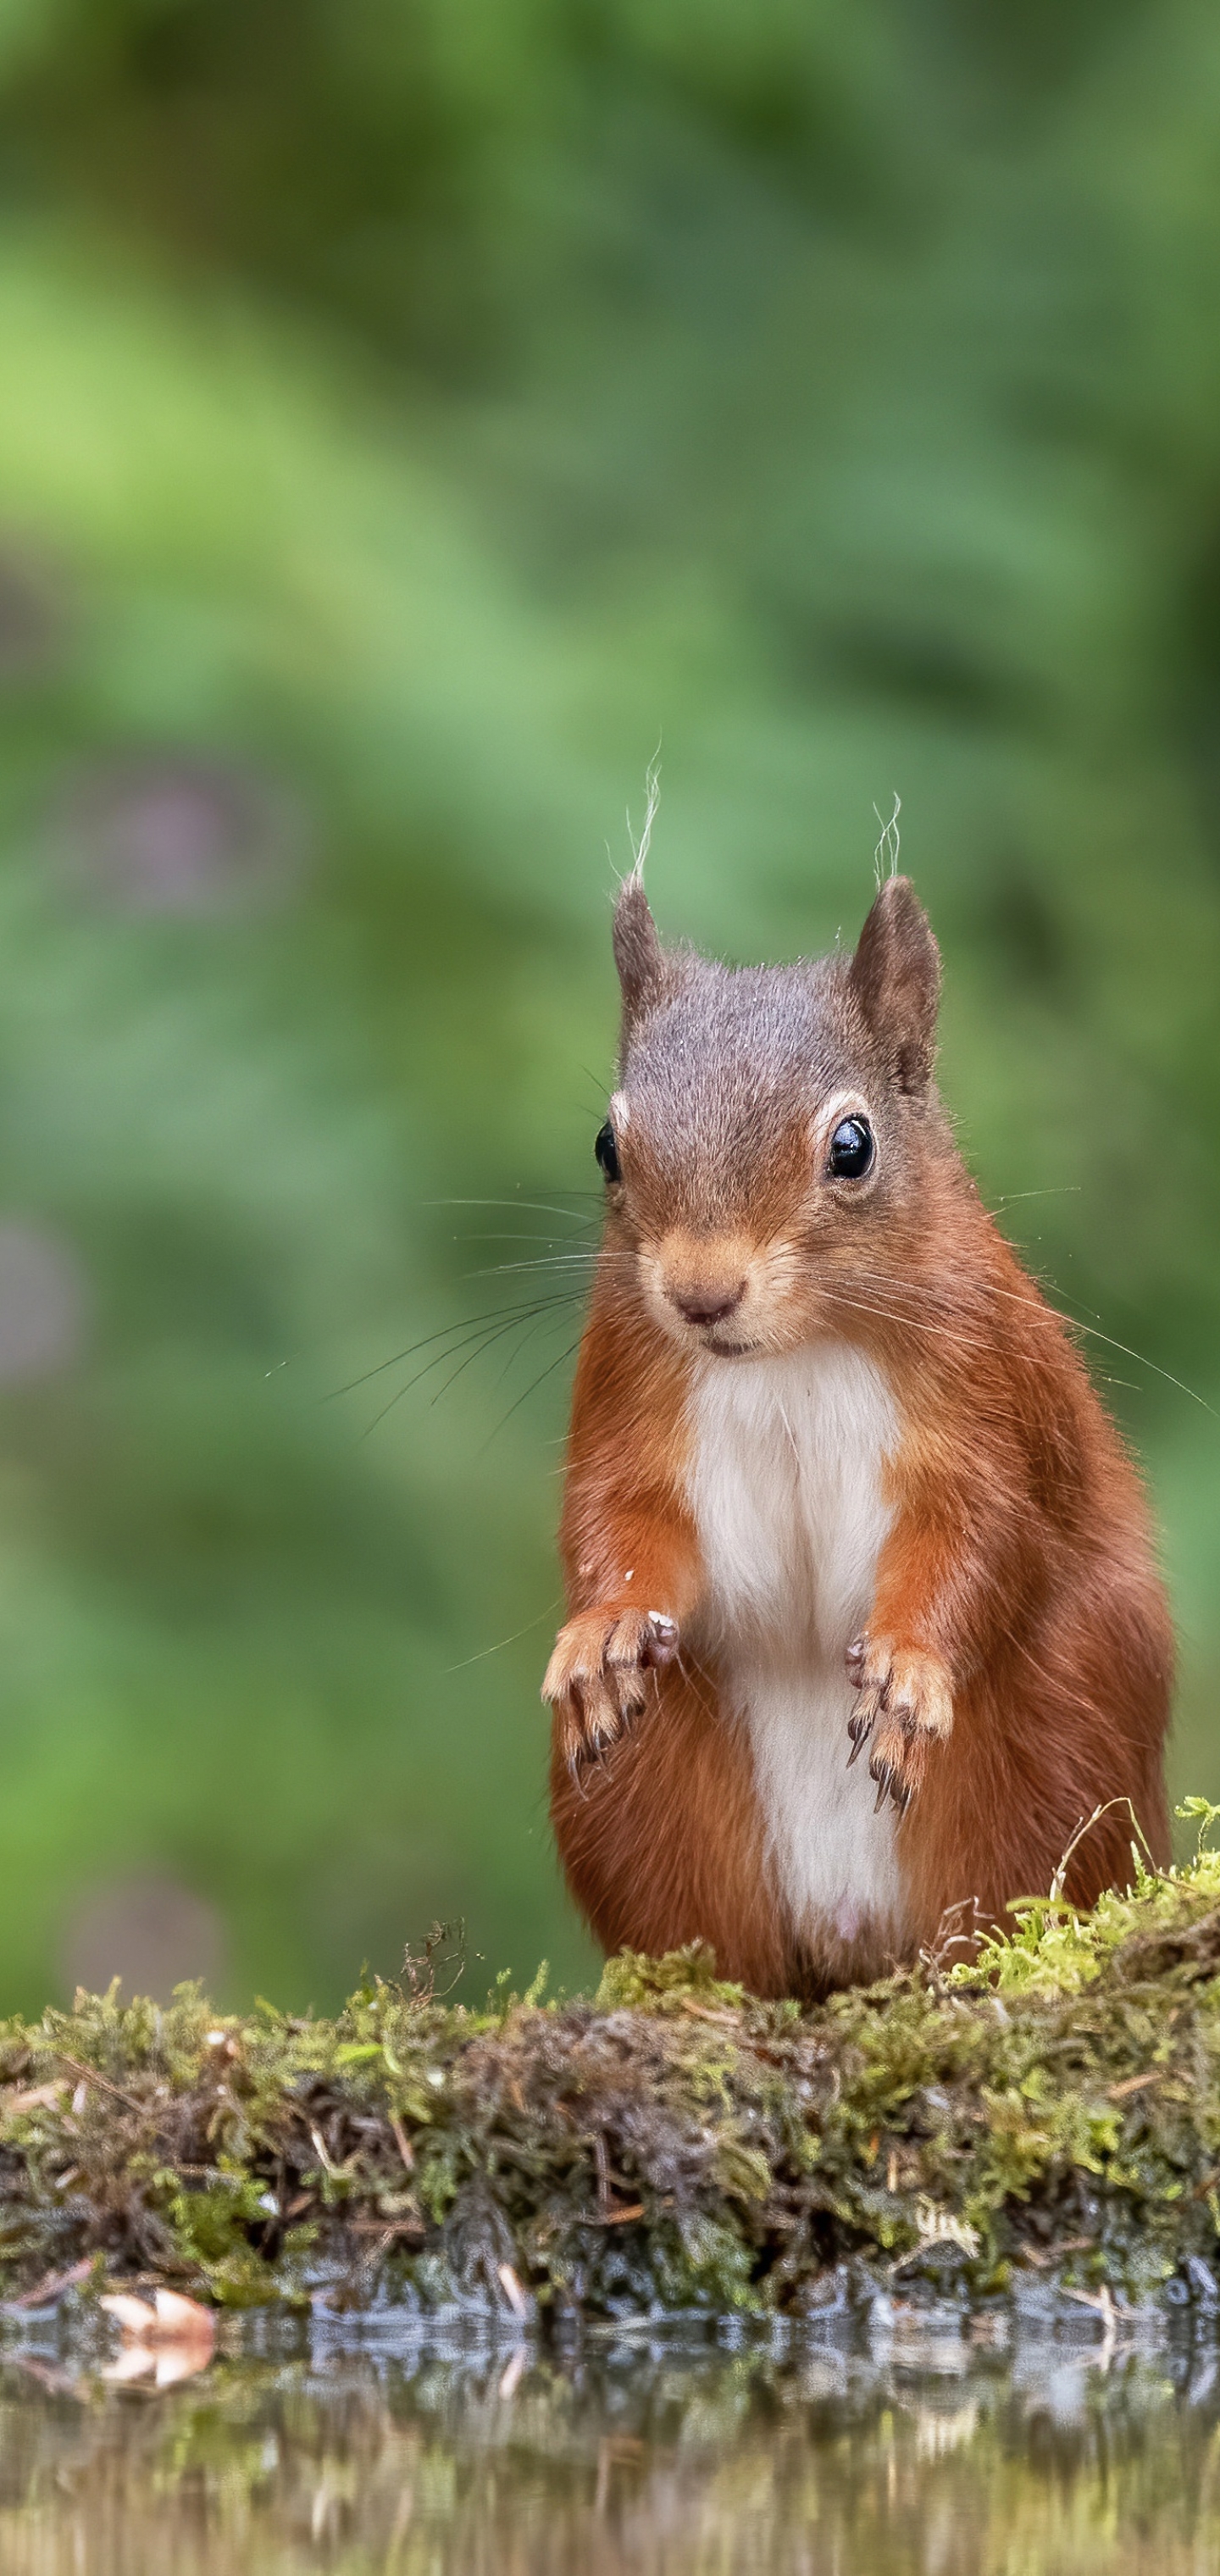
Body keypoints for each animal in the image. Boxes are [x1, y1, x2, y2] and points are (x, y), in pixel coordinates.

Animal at [543, 875, 1173, 1999]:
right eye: (609, 1147)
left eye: (853, 1145)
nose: (701, 1294)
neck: (793, 1353)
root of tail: (852, 1936)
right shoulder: (628, 1382)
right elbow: (619, 1519)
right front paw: (601, 1631)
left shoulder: (986, 1394)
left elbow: (983, 1535)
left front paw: (910, 1664)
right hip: (651, 1805)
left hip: (1061, 1739)